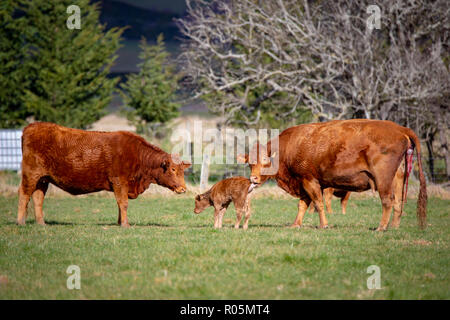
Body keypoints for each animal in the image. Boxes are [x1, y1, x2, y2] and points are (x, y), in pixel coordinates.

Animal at [16, 121, 190, 226]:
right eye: (173, 169)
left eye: (182, 171)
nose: (183, 189)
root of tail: (31, 126)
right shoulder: (119, 181)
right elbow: (123, 203)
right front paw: (125, 224)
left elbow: (120, 204)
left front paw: (120, 222)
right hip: (30, 174)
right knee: (24, 194)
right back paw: (20, 221)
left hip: (43, 179)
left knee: (38, 197)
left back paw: (41, 223)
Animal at [237, 119, 428, 231]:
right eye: (250, 163)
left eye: (265, 161)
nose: (253, 178)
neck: (291, 146)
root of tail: (401, 129)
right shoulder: (303, 183)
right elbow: (302, 205)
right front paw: (295, 224)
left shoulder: (309, 181)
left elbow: (318, 203)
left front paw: (324, 225)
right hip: (398, 177)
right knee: (398, 202)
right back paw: (394, 227)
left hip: (383, 180)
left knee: (387, 200)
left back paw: (381, 228)